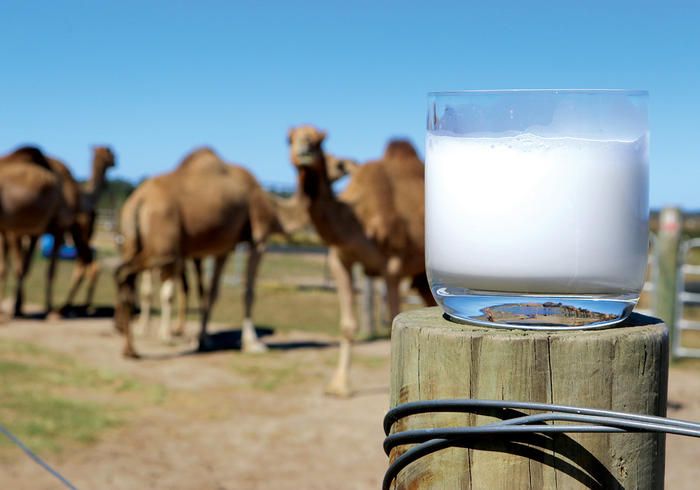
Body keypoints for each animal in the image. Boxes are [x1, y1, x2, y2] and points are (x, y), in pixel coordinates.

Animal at [115, 145, 288, 356]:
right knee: (131, 275)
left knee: (126, 276)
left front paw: (203, 339)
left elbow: (207, 291)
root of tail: (137, 200)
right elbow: (241, 290)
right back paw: (141, 341)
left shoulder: (217, 249)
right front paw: (252, 343)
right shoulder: (257, 238)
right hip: (162, 249)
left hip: (135, 242)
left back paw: (130, 344)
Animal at [288, 124, 434, 396]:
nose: (304, 151)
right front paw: (338, 386)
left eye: (319, 140)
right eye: (289, 138)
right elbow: (347, 325)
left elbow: (392, 318)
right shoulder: (339, 259)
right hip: (421, 276)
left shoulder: (393, 266)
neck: (359, 220)